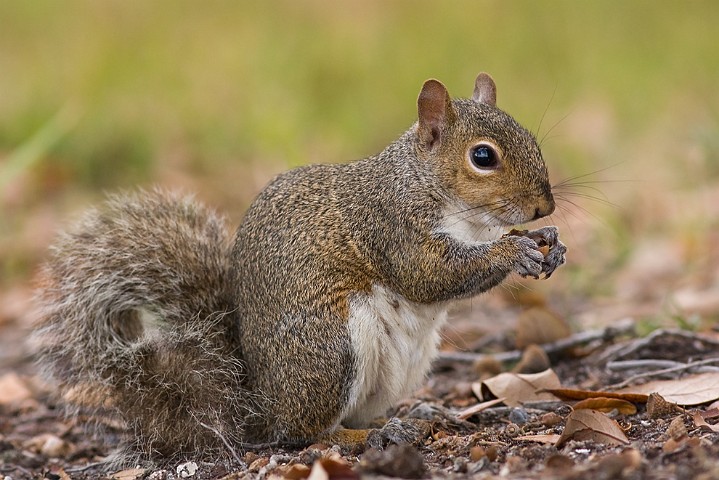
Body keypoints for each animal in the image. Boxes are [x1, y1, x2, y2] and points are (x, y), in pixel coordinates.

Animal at [32, 73, 568, 466]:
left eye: (531, 138)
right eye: (483, 156)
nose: (544, 207)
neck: (428, 186)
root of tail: (258, 407)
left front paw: (549, 243)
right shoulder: (391, 227)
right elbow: (429, 274)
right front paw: (512, 251)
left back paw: (406, 417)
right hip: (329, 350)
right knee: (308, 435)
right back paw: (360, 439)